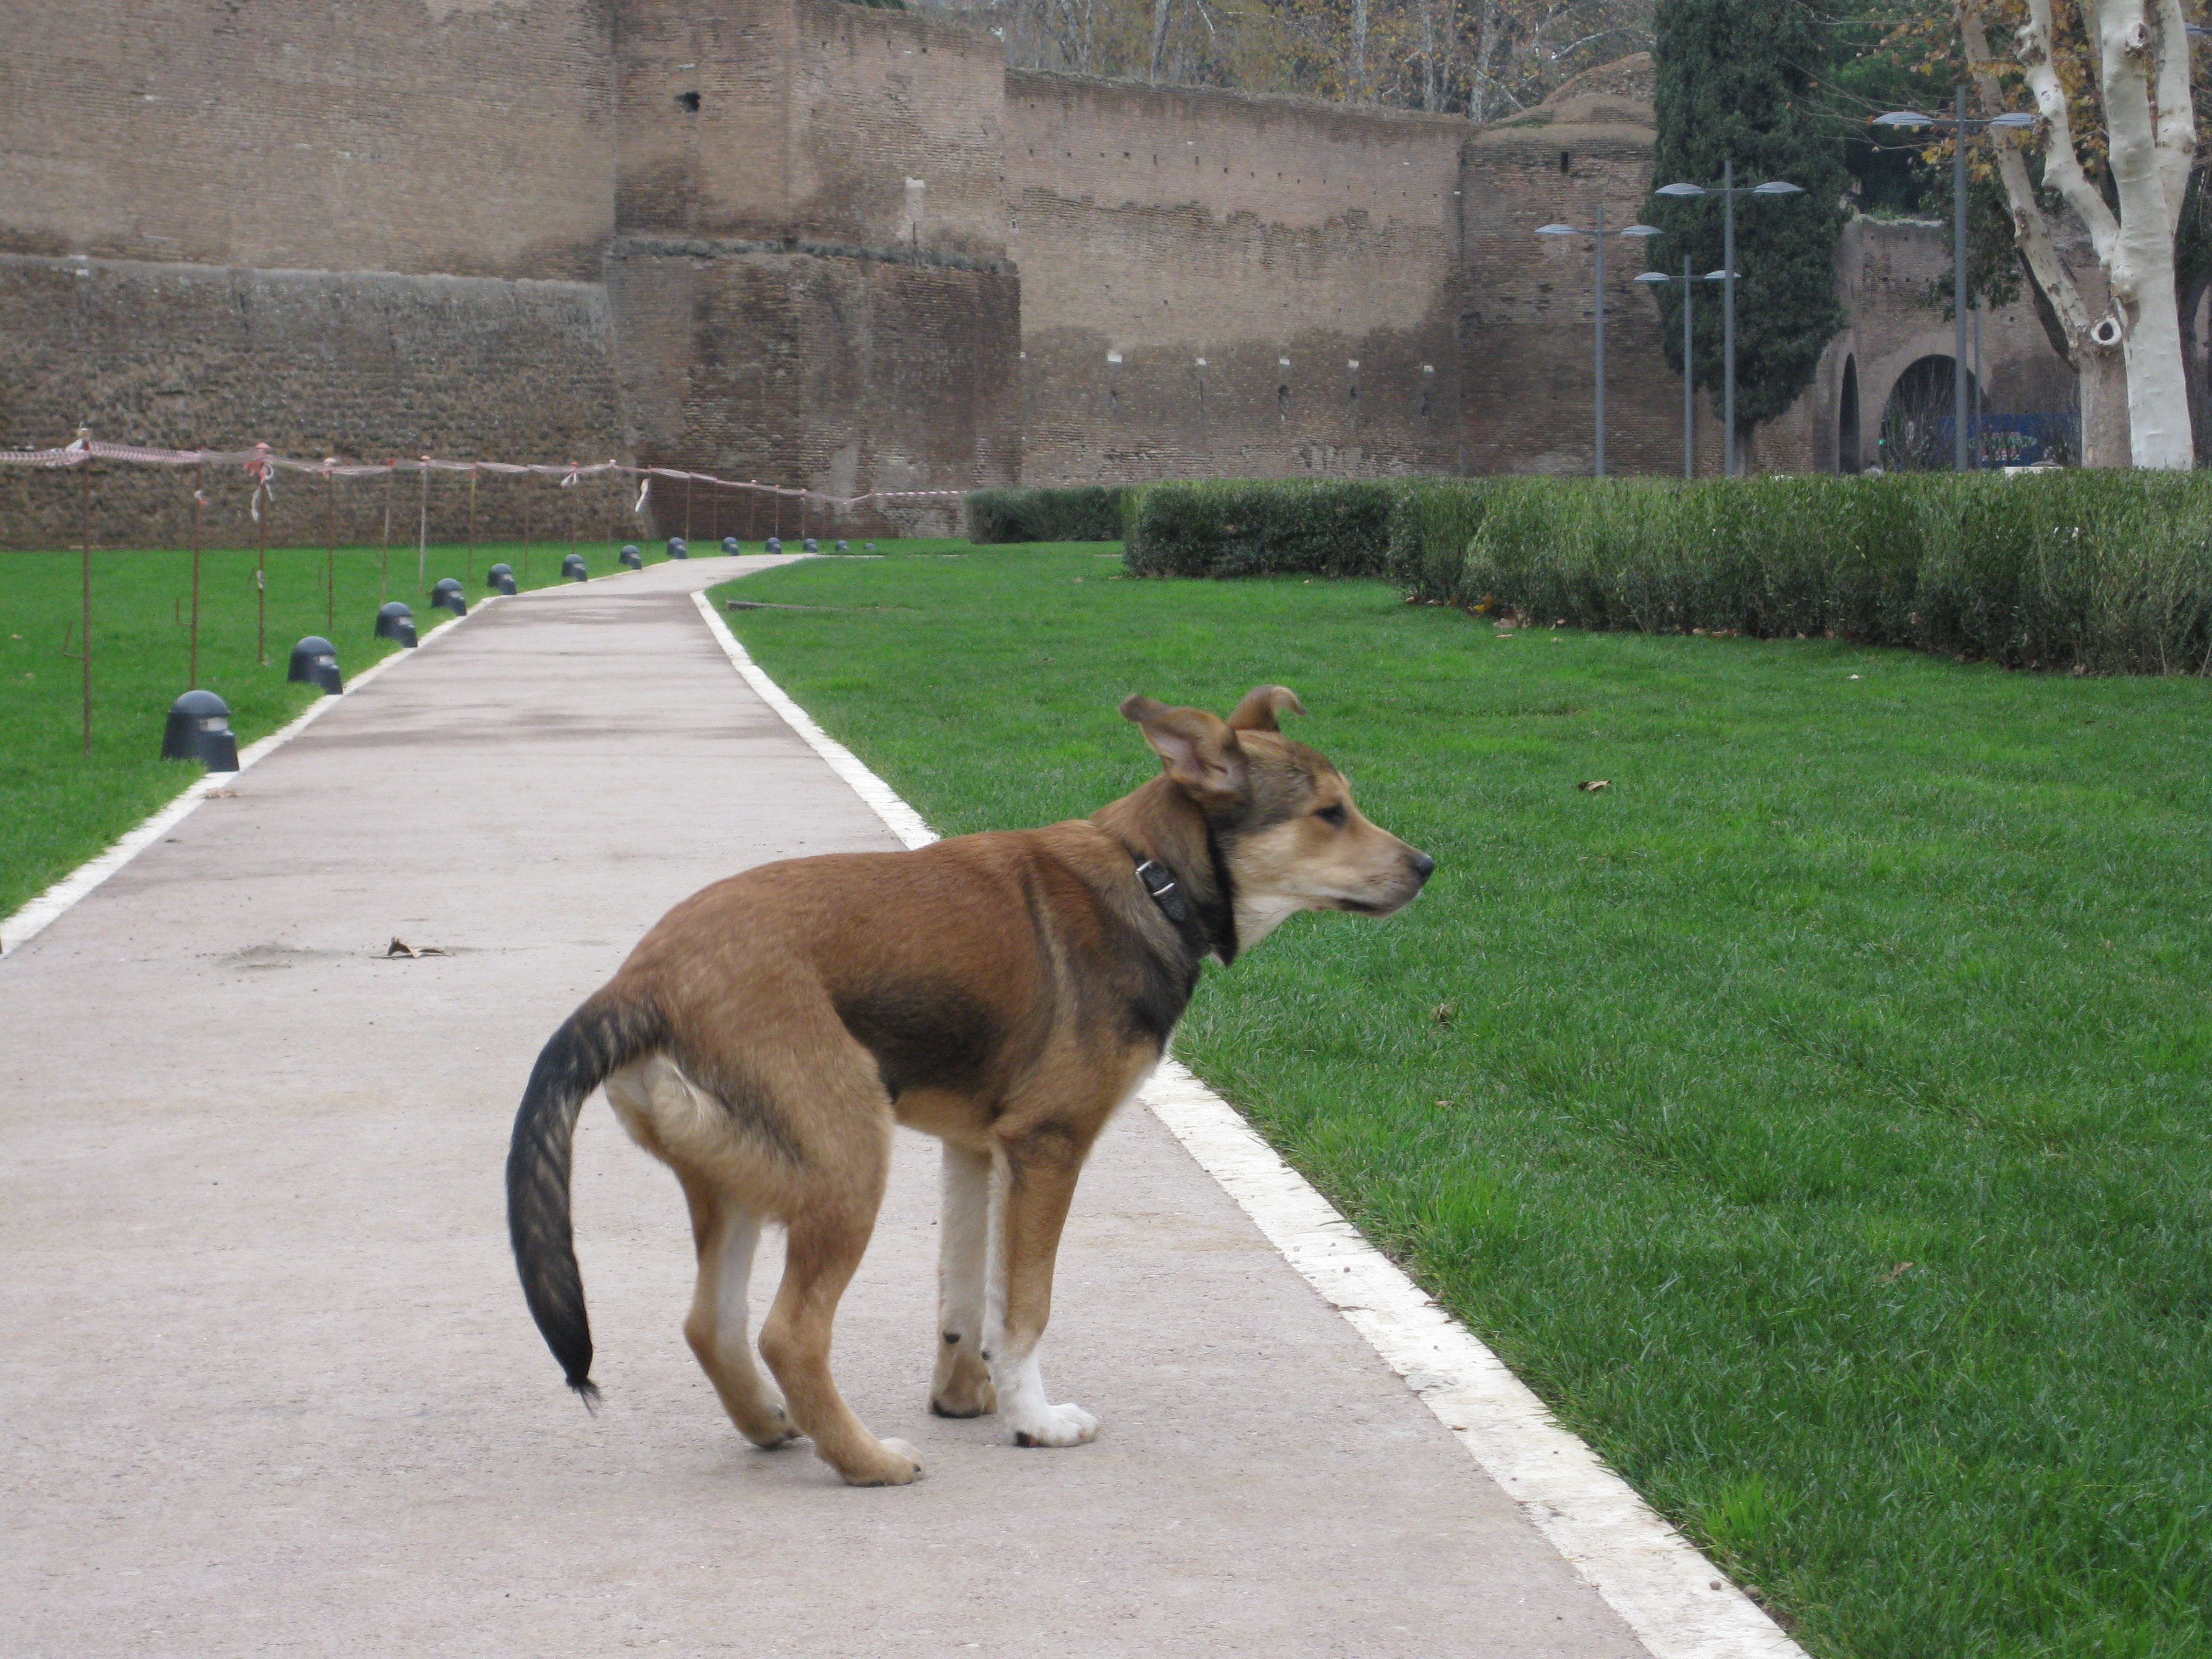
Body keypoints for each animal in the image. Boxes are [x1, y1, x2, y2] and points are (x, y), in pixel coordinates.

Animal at [506, 681, 1424, 1486]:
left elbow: (965, 1295)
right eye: (1330, 813)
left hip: (736, 1176)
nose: (1427, 865)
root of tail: (642, 983)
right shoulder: (1049, 1147)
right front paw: (1037, 1421)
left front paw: (965, 1396)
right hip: (847, 1161)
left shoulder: (976, 1151)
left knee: (711, 1324)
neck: (1149, 877)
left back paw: (771, 1424)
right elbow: (1025, 1307)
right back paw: (870, 1462)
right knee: (789, 1333)